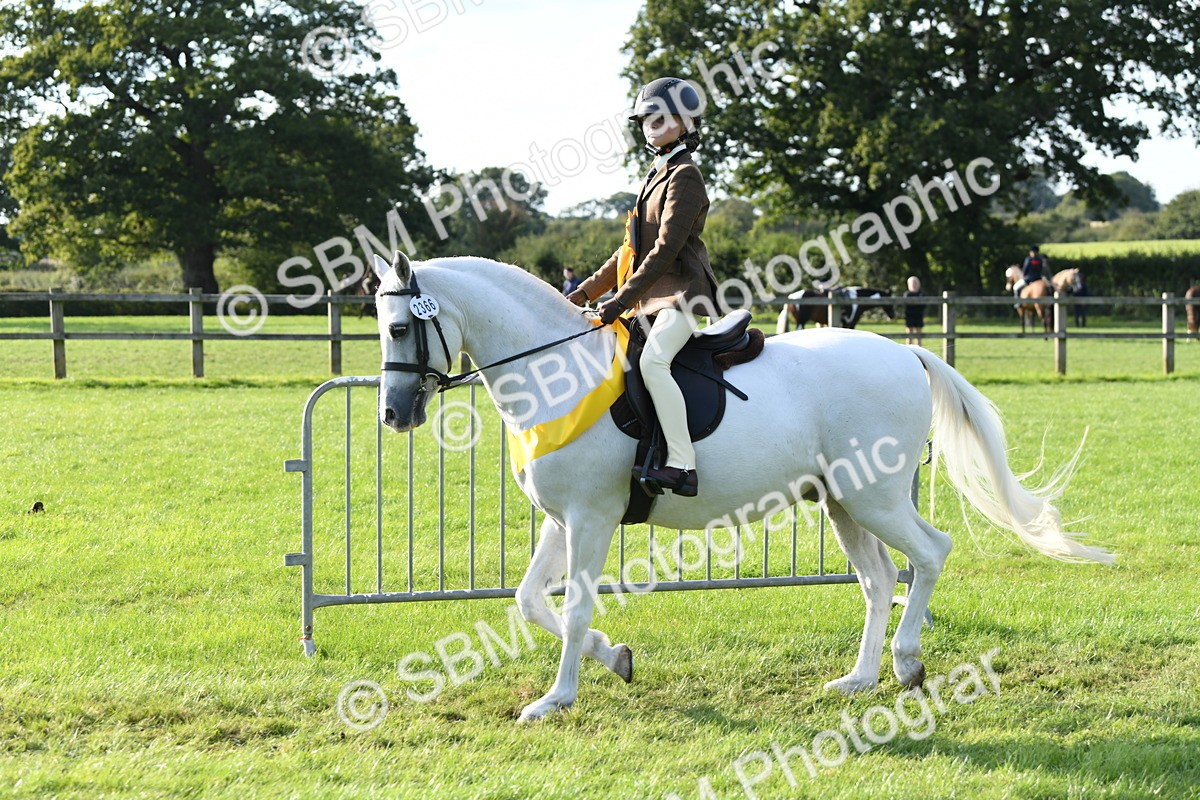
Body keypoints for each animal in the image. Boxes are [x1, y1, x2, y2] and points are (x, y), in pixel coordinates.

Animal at [372, 252, 1112, 722]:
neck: (557, 372)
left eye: (401, 327)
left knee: (929, 554)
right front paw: (616, 658)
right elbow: (529, 601)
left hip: (874, 497)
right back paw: (860, 678)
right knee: (878, 579)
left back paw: (906, 664)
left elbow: (575, 606)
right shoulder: (561, 520)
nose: (393, 415)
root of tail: (906, 353)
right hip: (843, 501)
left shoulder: (591, 517)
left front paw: (556, 699)